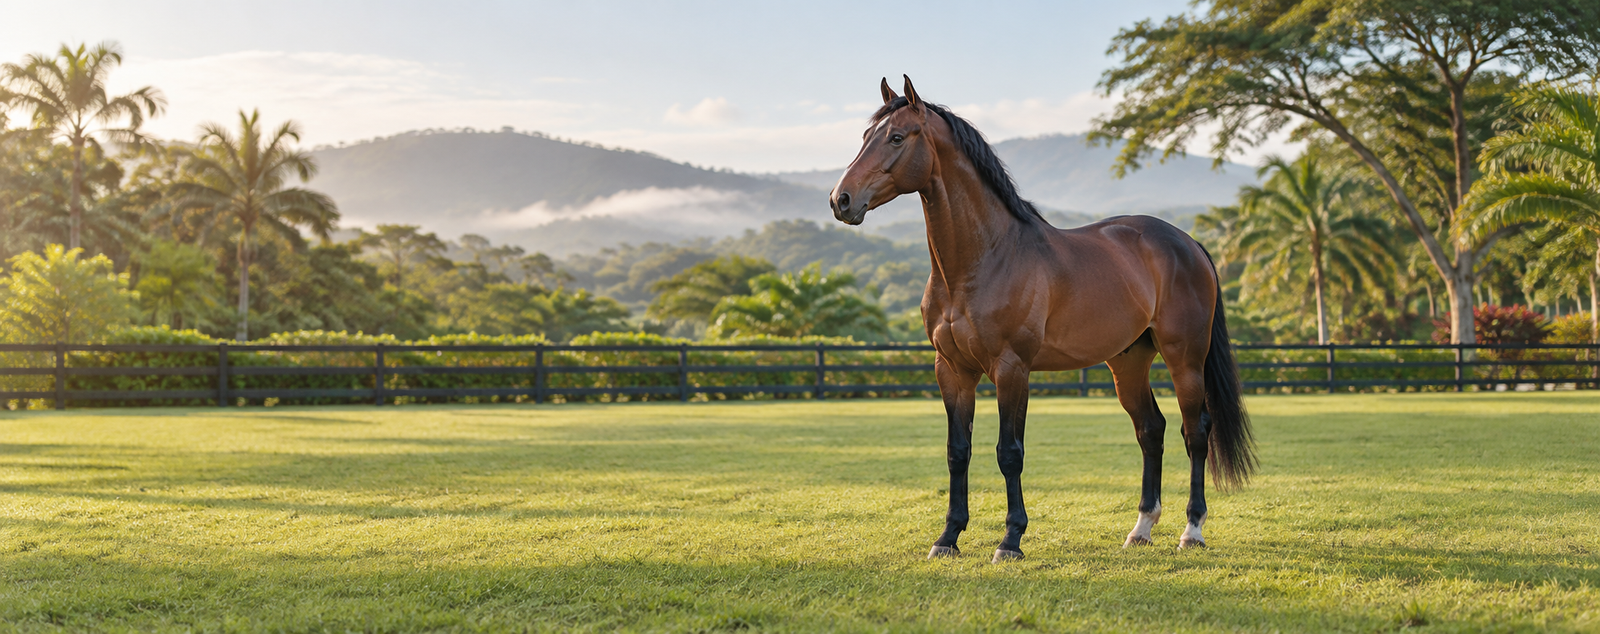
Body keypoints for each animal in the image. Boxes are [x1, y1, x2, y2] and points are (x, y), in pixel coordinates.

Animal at [829, 76, 1256, 562]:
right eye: (866, 137)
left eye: (897, 138)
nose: (841, 200)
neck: (985, 258)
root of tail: (1188, 243)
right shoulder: (952, 370)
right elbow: (958, 451)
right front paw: (948, 537)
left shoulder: (1012, 369)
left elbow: (1009, 453)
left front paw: (1011, 540)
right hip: (1128, 362)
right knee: (1151, 430)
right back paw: (1141, 528)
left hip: (1185, 359)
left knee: (1195, 431)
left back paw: (1192, 530)